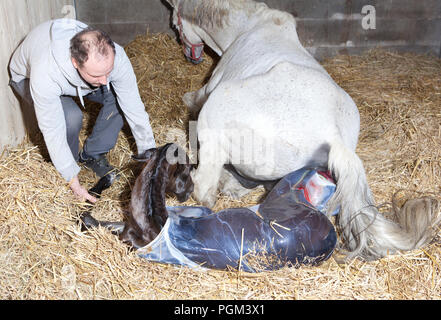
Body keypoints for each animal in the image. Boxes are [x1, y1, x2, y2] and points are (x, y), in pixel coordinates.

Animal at [163, 0, 438, 260]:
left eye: (176, 24)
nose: (190, 55)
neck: (246, 27)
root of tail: (333, 136)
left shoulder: (205, 95)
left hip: (216, 114)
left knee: (205, 186)